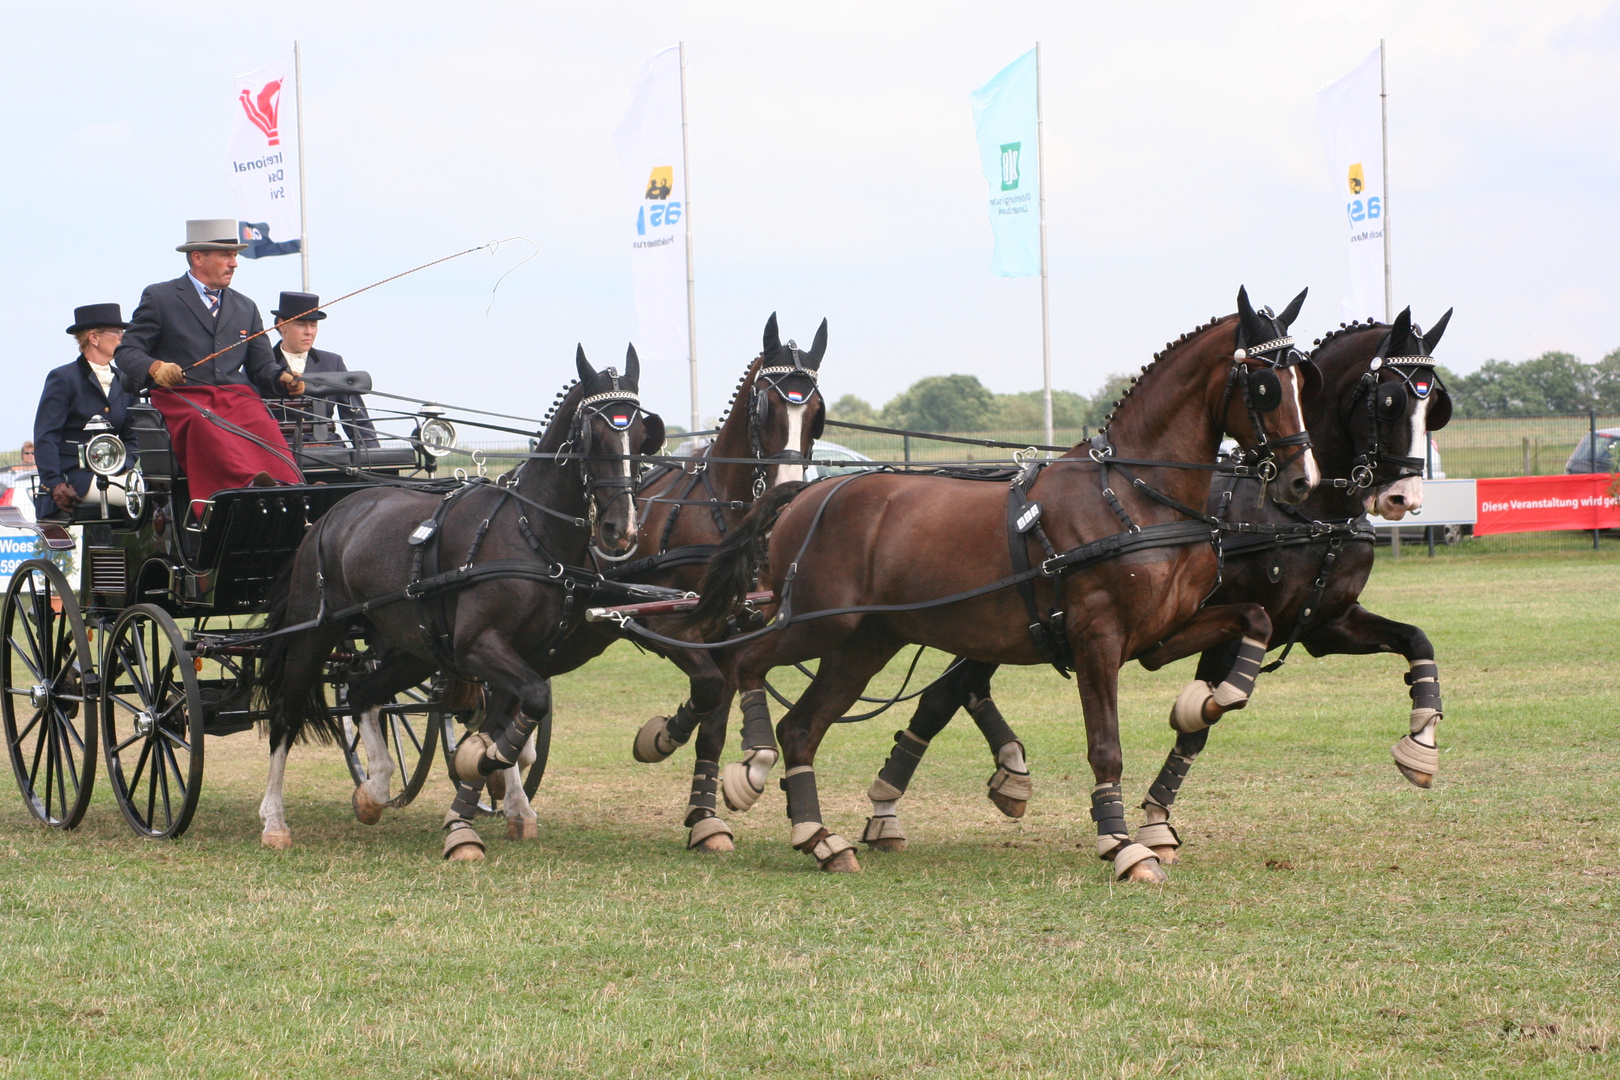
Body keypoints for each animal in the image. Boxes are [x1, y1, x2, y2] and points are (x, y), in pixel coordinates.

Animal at [251, 346, 664, 861]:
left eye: (644, 436)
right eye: (593, 434)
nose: (619, 530)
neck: (529, 532)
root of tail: (331, 513)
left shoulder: (526, 656)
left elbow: (514, 720)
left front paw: (507, 800)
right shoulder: (477, 647)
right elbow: (526, 708)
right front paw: (480, 768)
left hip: (410, 647)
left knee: (363, 693)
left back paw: (375, 790)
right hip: (314, 633)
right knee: (285, 714)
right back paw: (274, 819)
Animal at [541, 312, 822, 854]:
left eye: (817, 411)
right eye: (767, 406)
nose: (788, 491)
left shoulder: (735, 636)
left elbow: (714, 724)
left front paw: (706, 814)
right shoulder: (667, 626)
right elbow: (706, 690)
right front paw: (660, 736)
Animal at [690, 286, 1321, 880]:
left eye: (1303, 379)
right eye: (1265, 385)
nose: (1302, 481)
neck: (1134, 494)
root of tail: (807, 491)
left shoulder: (1159, 639)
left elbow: (1254, 620)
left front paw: (1203, 703)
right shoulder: (1098, 639)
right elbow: (1106, 747)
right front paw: (1121, 844)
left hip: (867, 642)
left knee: (802, 728)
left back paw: (820, 839)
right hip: (819, 624)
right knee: (746, 662)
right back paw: (752, 767)